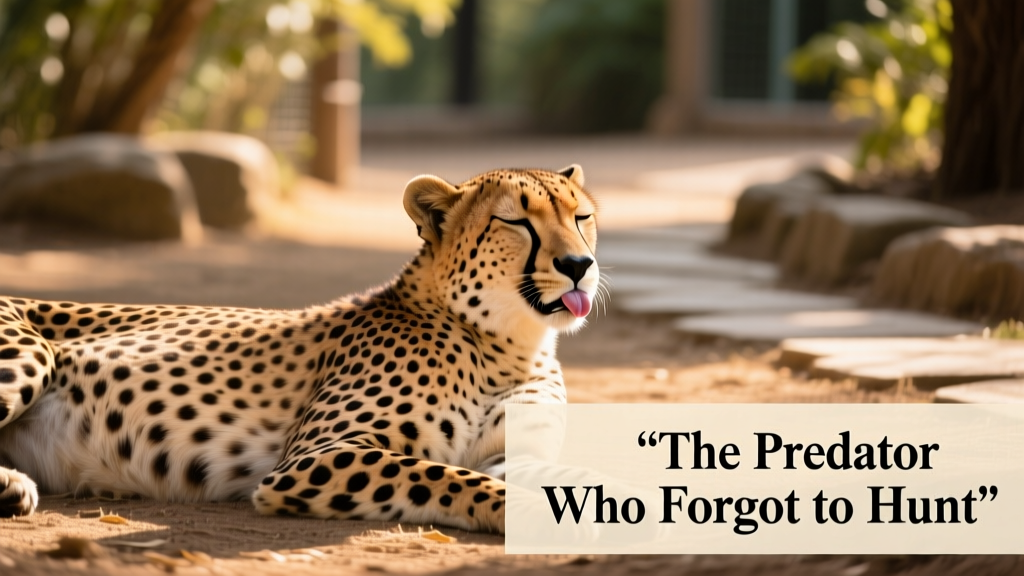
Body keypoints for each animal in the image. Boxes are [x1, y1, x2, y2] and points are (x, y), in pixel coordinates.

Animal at [0, 165, 599, 534]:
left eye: (581, 217)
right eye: (515, 221)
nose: (579, 265)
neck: (509, 344)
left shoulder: (513, 453)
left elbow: (569, 478)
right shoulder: (315, 456)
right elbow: (452, 476)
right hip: (30, 355)